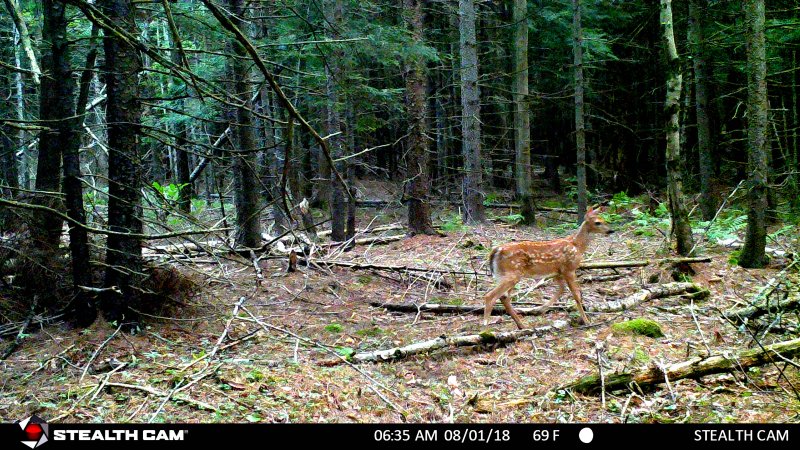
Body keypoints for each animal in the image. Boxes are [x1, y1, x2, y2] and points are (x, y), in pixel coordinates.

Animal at [482, 205, 614, 329]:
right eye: (597, 222)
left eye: (604, 220)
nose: (611, 230)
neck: (577, 246)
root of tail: (496, 250)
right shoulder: (569, 269)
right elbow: (576, 294)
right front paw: (586, 321)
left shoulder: (557, 272)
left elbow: (561, 289)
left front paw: (540, 308)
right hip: (512, 273)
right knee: (490, 296)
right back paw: (486, 328)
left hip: (505, 274)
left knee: (504, 297)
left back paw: (522, 325)